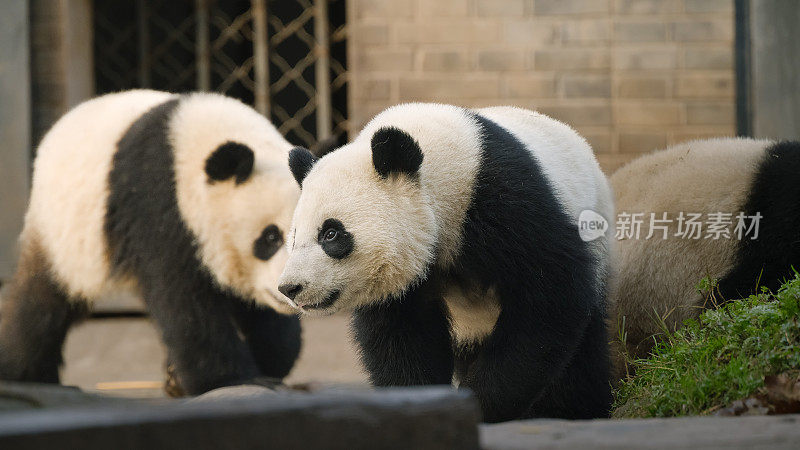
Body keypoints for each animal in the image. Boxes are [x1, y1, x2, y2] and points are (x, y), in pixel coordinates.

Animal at [0, 90, 304, 394]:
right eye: (271, 237)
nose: (286, 291)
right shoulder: (159, 206)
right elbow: (184, 301)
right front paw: (233, 379)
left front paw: (273, 359)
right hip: (65, 233)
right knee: (41, 301)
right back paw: (26, 373)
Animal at [278, 103, 616, 422]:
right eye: (292, 238)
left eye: (331, 234)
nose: (290, 288)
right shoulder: (400, 281)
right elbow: (402, 335)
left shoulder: (502, 200)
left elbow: (549, 293)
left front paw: (484, 403)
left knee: (583, 350)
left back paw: (574, 407)